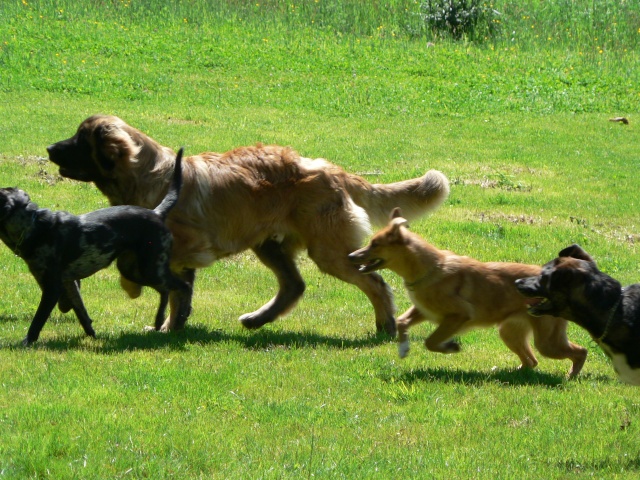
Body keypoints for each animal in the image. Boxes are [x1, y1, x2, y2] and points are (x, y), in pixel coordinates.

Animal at [0, 148, 190, 344]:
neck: (33, 226)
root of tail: (157, 213)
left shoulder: (52, 288)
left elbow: (38, 320)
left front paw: (26, 342)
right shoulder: (69, 283)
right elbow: (82, 313)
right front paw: (92, 336)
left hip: (150, 268)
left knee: (183, 287)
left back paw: (178, 321)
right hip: (135, 270)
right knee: (165, 290)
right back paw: (158, 321)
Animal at [46, 114, 450, 336]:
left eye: (80, 139)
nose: (50, 148)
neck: (149, 176)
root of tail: (330, 169)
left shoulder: (184, 246)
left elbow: (157, 282)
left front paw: (145, 304)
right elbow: (178, 295)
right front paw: (168, 328)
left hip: (329, 251)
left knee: (376, 283)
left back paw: (385, 325)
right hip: (268, 244)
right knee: (294, 285)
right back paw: (258, 319)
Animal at [350, 208, 592, 376]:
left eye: (375, 244)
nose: (351, 256)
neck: (429, 267)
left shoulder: (457, 316)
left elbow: (431, 342)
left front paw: (450, 347)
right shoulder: (424, 310)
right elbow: (402, 321)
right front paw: (403, 349)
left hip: (547, 342)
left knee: (580, 352)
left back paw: (571, 376)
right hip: (510, 332)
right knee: (532, 362)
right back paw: (509, 373)